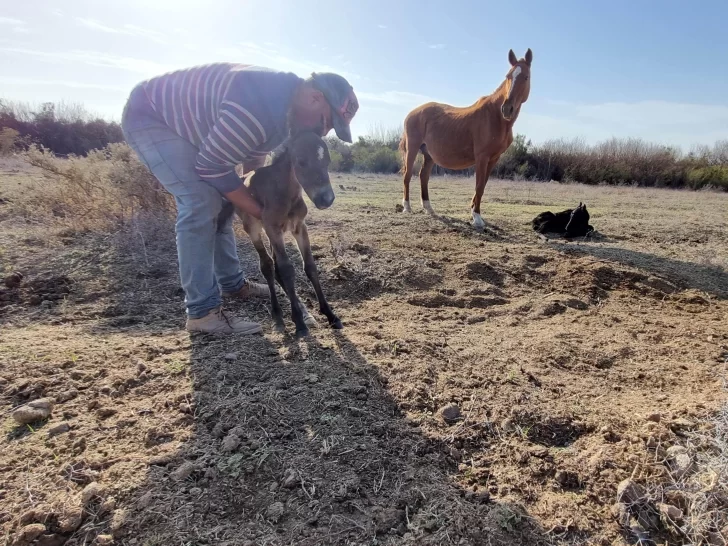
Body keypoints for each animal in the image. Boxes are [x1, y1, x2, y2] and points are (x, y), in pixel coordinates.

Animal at [236, 131, 344, 336]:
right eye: (301, 161)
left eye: (327, 160)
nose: (326, 199)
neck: (286, 194)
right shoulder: (273, 228)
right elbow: (287, 270)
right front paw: (299, 323)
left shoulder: (299, 227)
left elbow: (310, 266)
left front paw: (330, 315)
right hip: (254, 228)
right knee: (268, 266)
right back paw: (278, 317)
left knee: (275, 266)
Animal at [400, 46, 532, 225]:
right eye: (508, 76)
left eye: (526, 77)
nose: (507, 109)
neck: (495, 118)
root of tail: (412, 113)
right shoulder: (482, 157)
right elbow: (479, 185)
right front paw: (477, 218)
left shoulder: (494, 158)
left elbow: (482, 185)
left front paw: (474, 211)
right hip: (412, 148)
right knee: (407, 175)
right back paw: (407, 207)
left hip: (429, 154)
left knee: (423, 176)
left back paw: (429, 208)